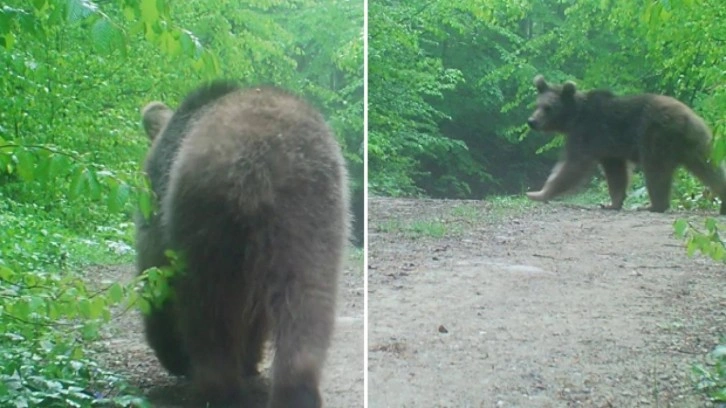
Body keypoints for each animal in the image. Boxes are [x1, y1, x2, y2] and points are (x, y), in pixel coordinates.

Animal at [139, 80, 352, 408]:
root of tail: (255, 163)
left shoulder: (157, 209)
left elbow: (154, 277)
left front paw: (174, 354)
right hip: (311, 217)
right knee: (308, 305)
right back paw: (296, 390)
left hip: (206, 221)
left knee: (208, 310)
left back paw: (217, 389)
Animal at [528, 74, 726, 214]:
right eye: (536, 105)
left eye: (548, 108)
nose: (532, 121)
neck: (575, 117)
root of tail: (687, 117)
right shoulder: (609, 149)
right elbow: (616, 174)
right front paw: (612, 202)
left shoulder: (588, 133)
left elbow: (572, 165)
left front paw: (538, 193)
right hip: (699, 145)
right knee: (710, 169)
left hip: (655, 136)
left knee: (655, 170)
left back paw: (653, 205)